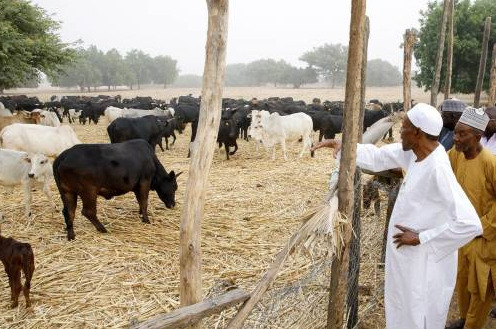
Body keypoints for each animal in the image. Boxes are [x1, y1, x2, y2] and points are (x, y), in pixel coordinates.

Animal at [53, 140, 181, 240]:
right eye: (174, 186)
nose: (172, 204)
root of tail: (64, 155)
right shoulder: (145, 181)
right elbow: (144, 202)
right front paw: (146, 220)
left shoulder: (136, 186)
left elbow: (140, 201)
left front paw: (140, 214)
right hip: (89, 191)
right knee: (88, 212)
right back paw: (103, 229)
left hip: (67, 192)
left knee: (69, 212)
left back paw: (71, 236)